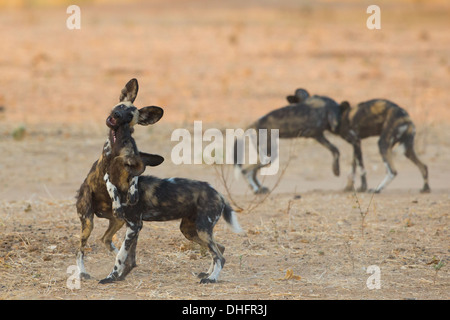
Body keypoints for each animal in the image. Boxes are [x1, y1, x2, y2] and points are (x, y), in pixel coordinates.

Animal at [75, 79, 163, 278]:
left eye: (130, 116)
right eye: (121, 106)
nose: (116, 114)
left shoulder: (135, 165)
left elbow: (134, 179)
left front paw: (133, 193)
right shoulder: (107, 173)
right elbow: (112, 187)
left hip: (119, 221)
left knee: (106, 239)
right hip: (88, 222)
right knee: (80, 250)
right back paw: (82, 271)